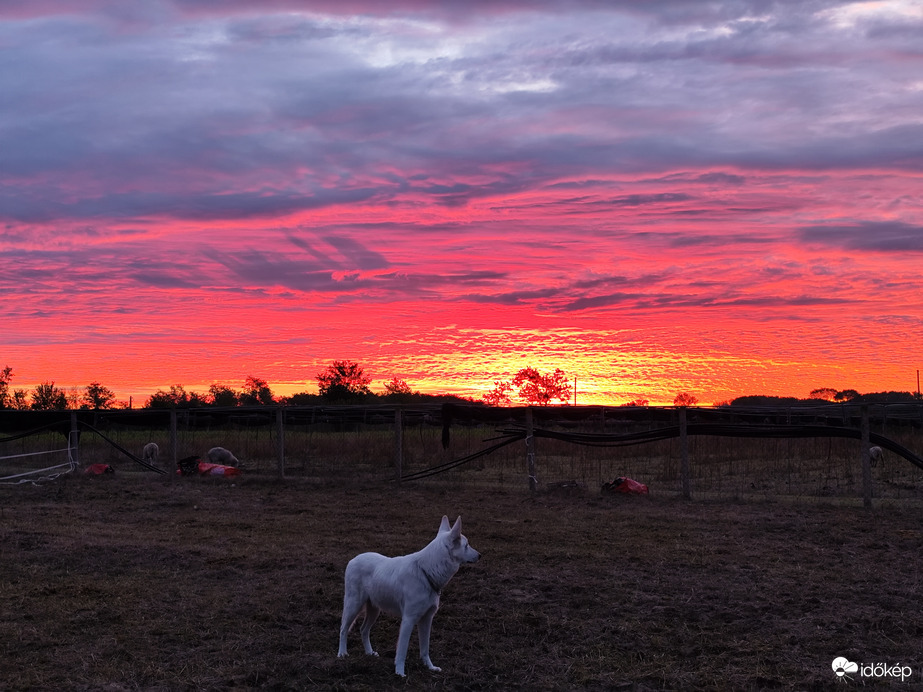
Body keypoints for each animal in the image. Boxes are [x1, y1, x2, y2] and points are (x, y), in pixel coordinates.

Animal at [340, 512, 484, 676]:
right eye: (466, 545)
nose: (480, 555)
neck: (426, 572)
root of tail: (352, 560)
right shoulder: (408, 620)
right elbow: (402, 651)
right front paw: (400, 673)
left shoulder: (427, 619)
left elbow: (425, 649)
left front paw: (430, 667)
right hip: (353, 606)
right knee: (343, 629)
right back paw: (342, 654)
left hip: (374, 610)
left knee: (363, 630)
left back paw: (369, 653)